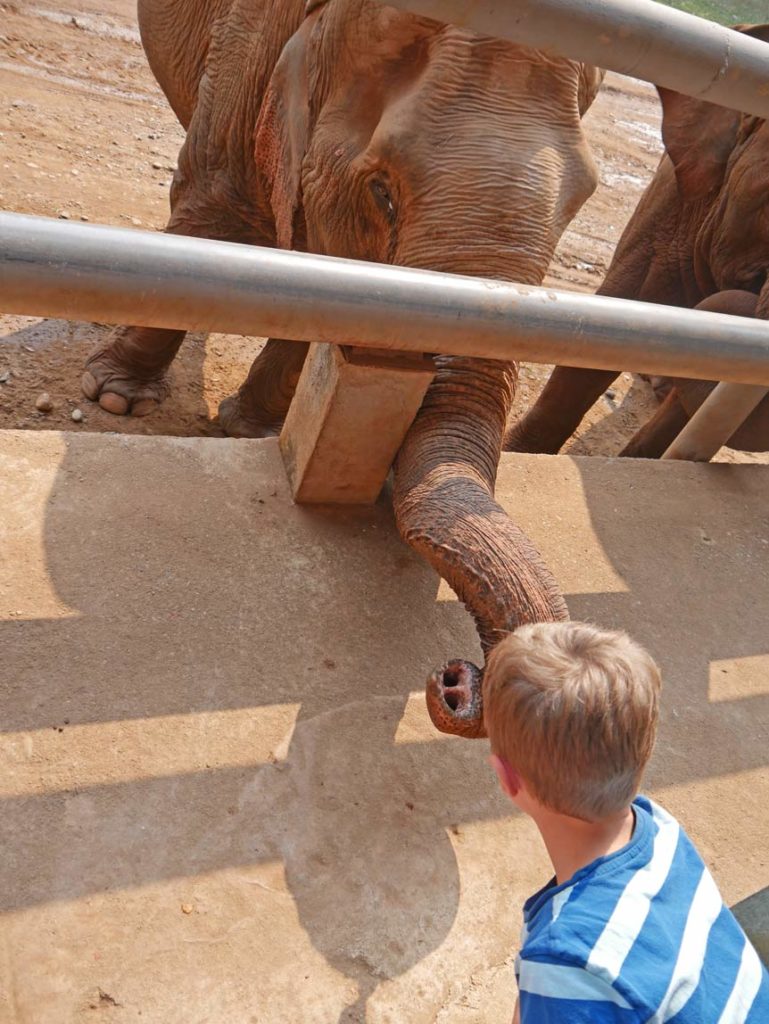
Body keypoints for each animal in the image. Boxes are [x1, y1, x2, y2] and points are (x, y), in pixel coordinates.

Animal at [81, 0, 606, 737]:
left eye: (582, 200)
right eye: (382, 191)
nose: (453, 680)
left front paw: (248, 429)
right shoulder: (251, 52)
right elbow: (217, 207)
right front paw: (116, 402)